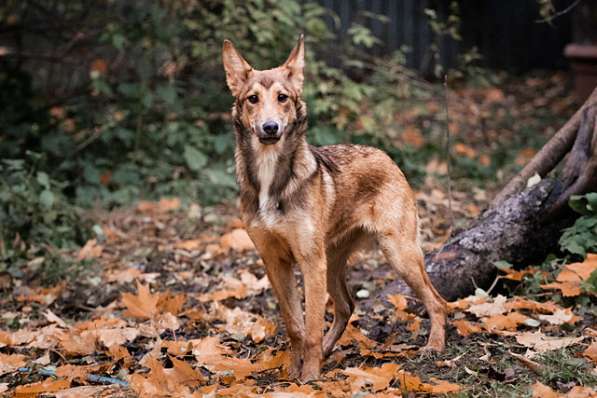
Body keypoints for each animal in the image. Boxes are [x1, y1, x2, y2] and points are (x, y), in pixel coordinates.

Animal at [221, 35, 444, 380]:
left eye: (283, 98)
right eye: (252, 99)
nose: (270, 128)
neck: (272, 177)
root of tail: (386, 155)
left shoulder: (310, 262)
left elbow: (311, 327)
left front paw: (310, 377)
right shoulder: (274, 262)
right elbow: (295, 325)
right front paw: (293, 370)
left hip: (397, 253)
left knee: (437, 301)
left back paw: (434, 346)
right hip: (333, 263)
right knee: (346, 306)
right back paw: (328, 350)